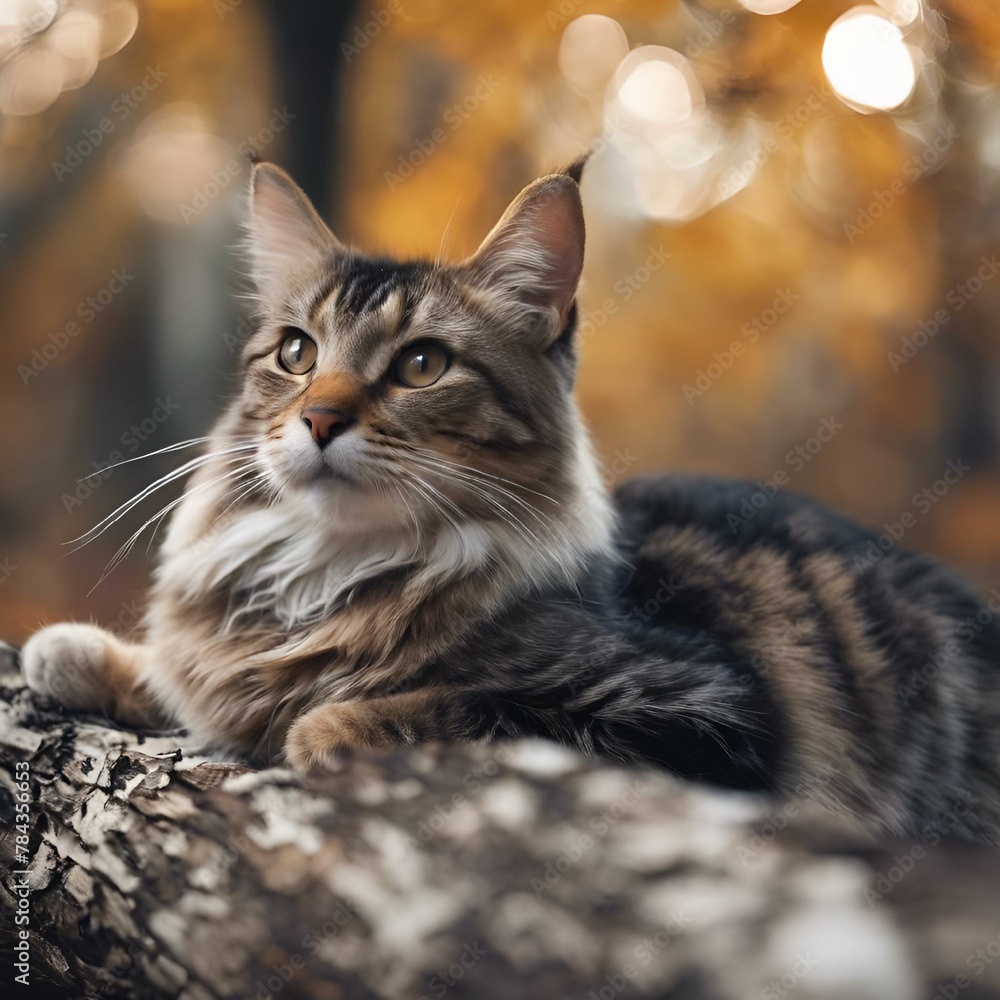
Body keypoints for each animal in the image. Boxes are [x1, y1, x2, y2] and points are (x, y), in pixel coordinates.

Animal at [17, 160, 1000, 840]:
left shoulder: (704, 710)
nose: (320, 418)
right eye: (296, 354)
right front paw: (82, 654)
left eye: (421, 365)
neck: (332, 574)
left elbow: (441, 707)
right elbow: (184, 677)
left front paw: (320, 726)